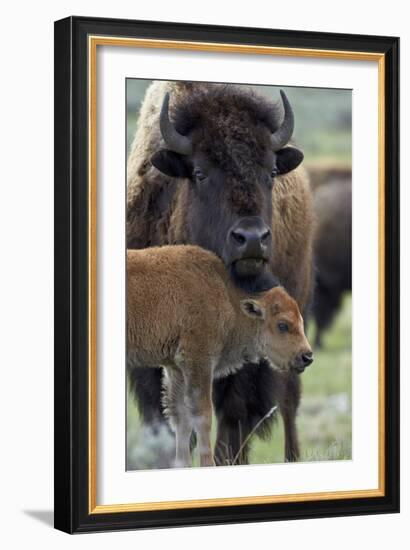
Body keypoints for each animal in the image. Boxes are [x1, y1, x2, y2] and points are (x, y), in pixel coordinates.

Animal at [126, 248, 312, 468]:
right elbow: (203, 415)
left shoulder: (176, 368)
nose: (307, 356)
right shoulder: (199, 361)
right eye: (282, 325)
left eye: (301, 320)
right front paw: (208, 464)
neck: (224, 292)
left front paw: (182, 464)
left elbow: (181, 418)